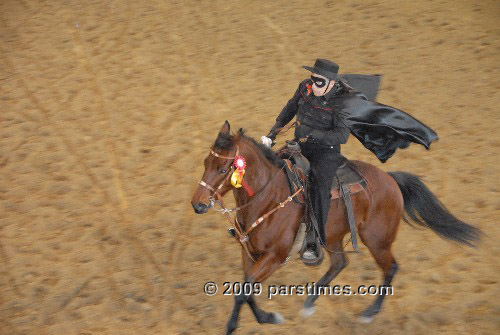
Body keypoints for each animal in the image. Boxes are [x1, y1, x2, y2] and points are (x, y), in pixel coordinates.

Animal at [190, 121, 480, 335]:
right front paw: (261, 319)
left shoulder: (274, 256)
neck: (269, 196)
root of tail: (390, 180)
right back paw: (309, 303)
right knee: (340, 263)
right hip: (333, 236)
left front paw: (246, 323)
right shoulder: (250, 253)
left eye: (224, 168)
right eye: (205, 162)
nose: (198, 204)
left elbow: (243, 292)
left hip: (377, 240)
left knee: (390, 268)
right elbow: (246, 290)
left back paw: (368, 314)